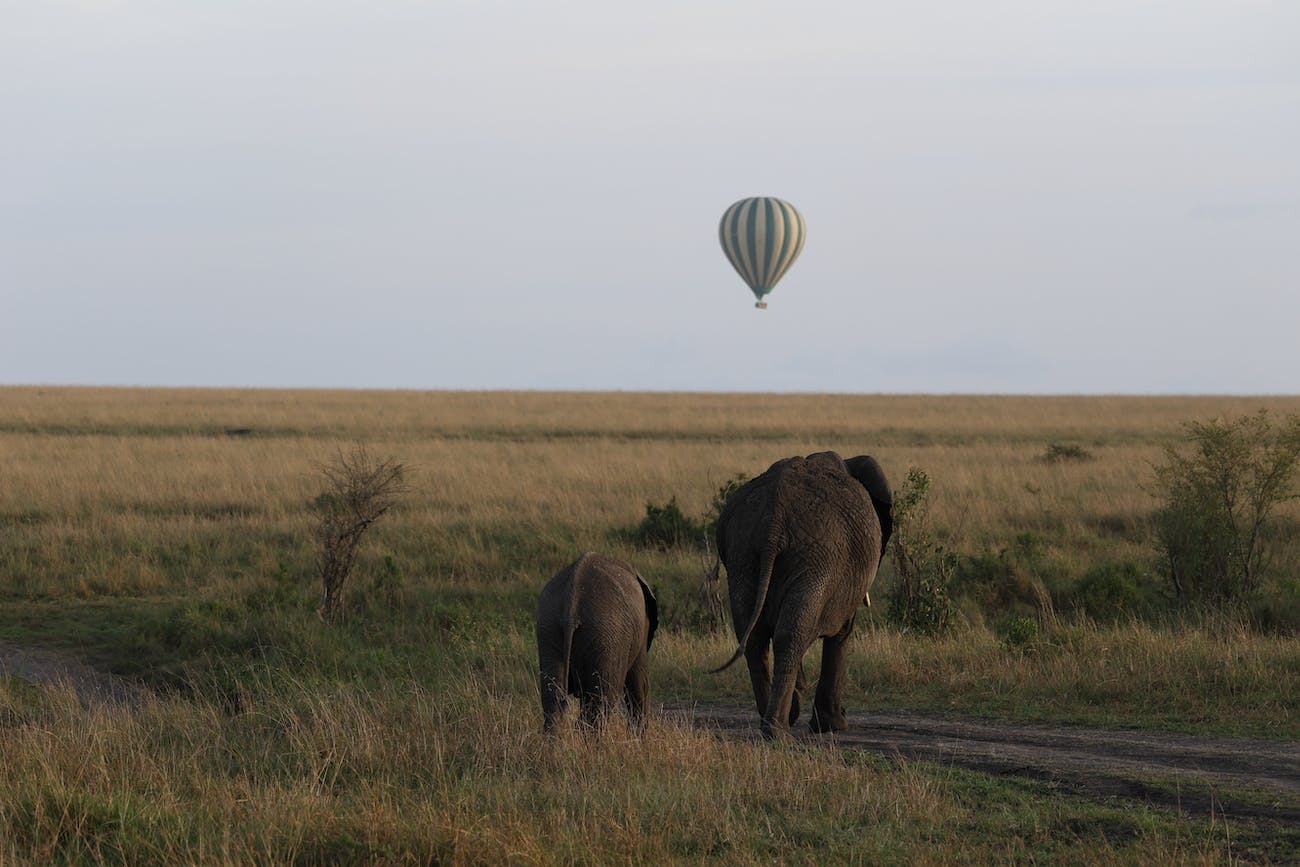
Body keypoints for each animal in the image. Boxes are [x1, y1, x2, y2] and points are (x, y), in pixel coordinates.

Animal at [717, 454, 889, 738]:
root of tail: (773, 519)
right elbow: (842, 632)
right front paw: (833, 726)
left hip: (742, 554)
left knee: (758, 636)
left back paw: (778, 720)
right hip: (818, 557)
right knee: (792, 635)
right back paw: (779, 730)